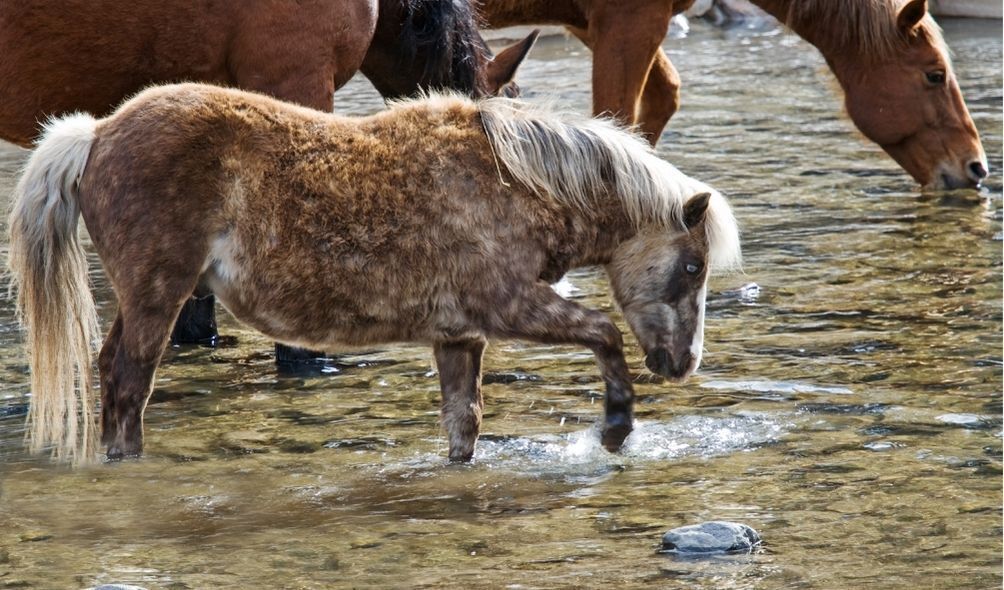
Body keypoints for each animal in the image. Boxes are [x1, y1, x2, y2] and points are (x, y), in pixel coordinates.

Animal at [3, 81, 742, 465]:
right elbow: (602, 334)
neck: (514, 180)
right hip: (158, 295)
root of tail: (97, 132)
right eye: (693, 264)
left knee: (111, 375)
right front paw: (615, 425)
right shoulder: (511, 305)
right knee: (129, 384)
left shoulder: (459, 334)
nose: (684, 363)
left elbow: (464, 423)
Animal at [479, 0, 987, 188]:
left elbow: (661, 101)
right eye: (935, 75)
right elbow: (614, 119)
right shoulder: (628, 20)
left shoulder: (592, 22)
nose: (976, 166)